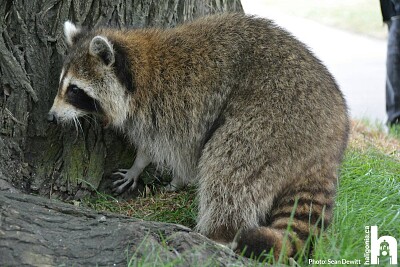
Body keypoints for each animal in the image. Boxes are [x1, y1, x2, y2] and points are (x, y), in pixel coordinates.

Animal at [47, 14, 348, 262]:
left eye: (74, 90)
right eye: (61, 84)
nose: (51, 117)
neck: (137, 67)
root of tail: (329, 138)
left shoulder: (177, 105)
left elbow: (180, 151)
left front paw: (167, 174)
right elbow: (153, 146)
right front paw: (139, 166)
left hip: (273, 119)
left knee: (228, 170)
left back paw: (220, 234)